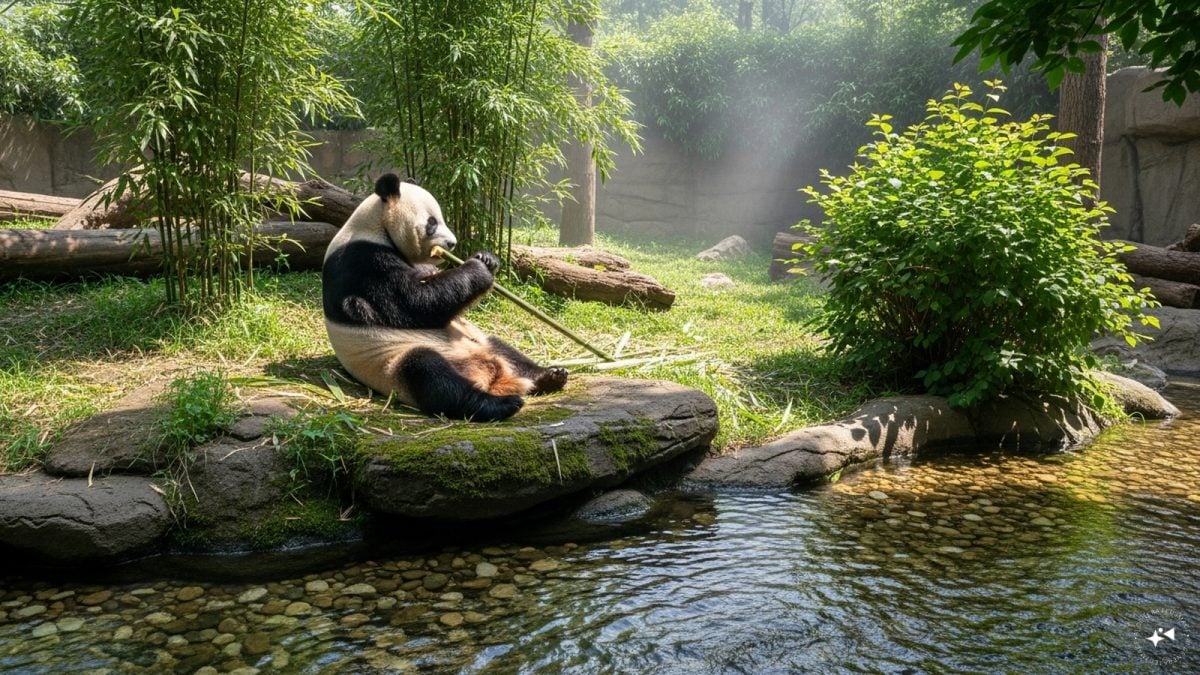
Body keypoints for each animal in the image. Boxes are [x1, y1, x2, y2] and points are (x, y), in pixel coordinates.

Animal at [322, 173, 568, 422]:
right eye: (432, 223)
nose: (452, 244)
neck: (376, 226)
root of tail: (492, 377)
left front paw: (486, 258)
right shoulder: (364, 262)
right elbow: (414, 303)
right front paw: (479, 268)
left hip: (479, 340)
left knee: (506, 351)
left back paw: (551, 376)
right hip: (391, 361)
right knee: (432, 375)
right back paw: (500, 404)